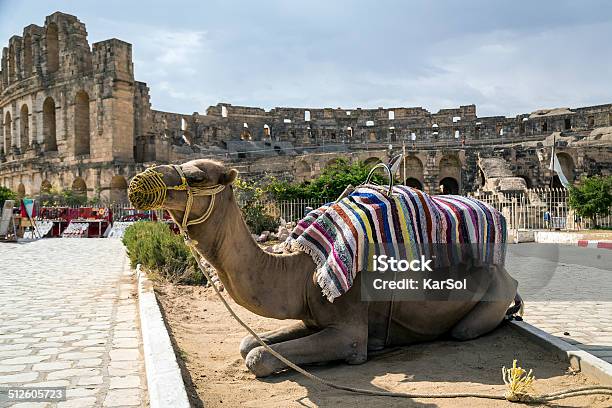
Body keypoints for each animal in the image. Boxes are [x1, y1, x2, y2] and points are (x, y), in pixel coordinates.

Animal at [129, 159, 520, 376]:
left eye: (196, 176)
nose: (140, 181)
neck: (301, 272)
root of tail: (510, 277)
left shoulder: (348, 330)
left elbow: (257, 356)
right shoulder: (310, 318)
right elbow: (247, 342)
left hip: (489, 301)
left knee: (465, 330)